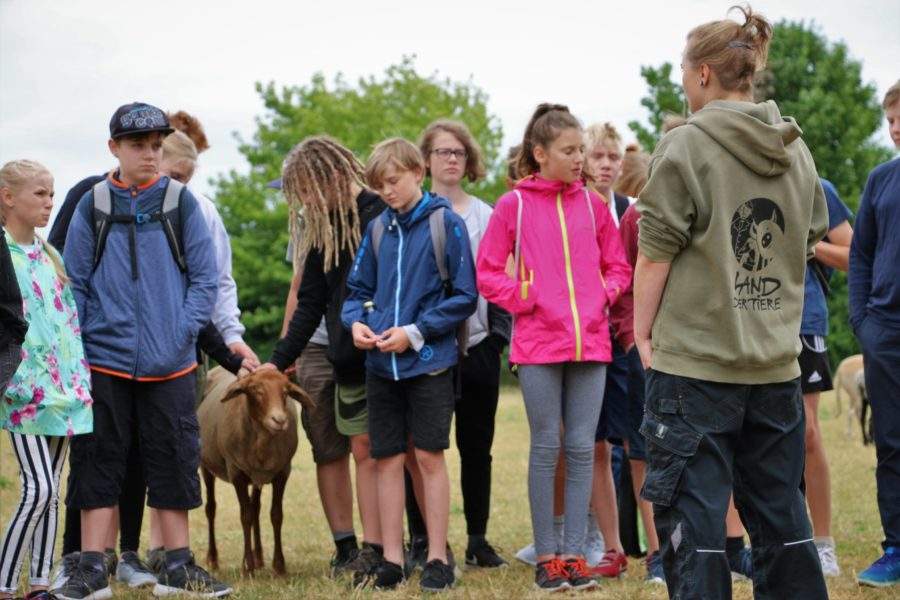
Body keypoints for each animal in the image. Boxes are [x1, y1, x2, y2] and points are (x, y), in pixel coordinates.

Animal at [198, 366, 312, 576]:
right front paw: (247, 567)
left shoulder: (282, 471)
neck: (262, 443)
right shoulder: (236, 472)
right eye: (256, 391)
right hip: (205, 464)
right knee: (211, 508)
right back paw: (213, 559)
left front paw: (279, 566)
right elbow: (245, 517)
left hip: (257, 476)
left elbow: (276, 515)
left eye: (285, 392)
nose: (279, 420)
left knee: (256, 507)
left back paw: (259, 557)